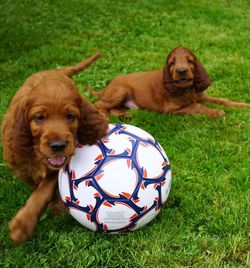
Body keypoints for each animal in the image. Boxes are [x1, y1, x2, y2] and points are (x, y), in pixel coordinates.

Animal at [1, 52, 107, 243]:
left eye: (70, 116)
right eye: (39, 117)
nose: (58, 145)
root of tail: (52, 71)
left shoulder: (58, 166)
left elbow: (43, 191)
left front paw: (23, 224)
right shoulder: (20, 167)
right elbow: (36, 186)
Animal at [87, 46, 249, 117]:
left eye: (190, 61)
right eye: (172, 63)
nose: (181, 71)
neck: (186, 89)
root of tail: (106, 88)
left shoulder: (202, 95)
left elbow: (222, 100)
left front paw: (243, 105)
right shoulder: (172, 109)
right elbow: (197, 106)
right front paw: (216, 112)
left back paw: (123, 114)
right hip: (121, 91)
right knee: (98, 105)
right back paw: (105, 116)